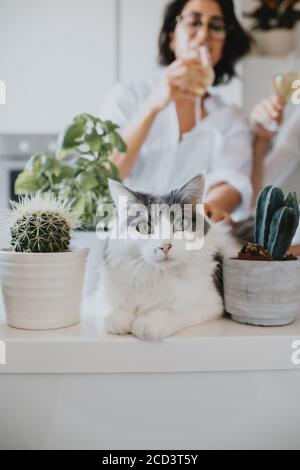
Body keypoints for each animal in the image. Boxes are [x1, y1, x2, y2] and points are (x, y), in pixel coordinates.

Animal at [103, 174, 241, 340]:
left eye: (181, 224)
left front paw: (150, 321)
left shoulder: (212, 304)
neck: (158, 276)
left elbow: (175, 312)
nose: (165, 246)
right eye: (145, 227)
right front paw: (119, 318)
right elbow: (120, 309)